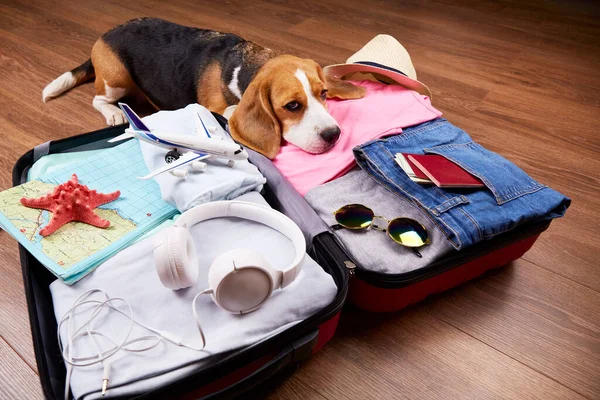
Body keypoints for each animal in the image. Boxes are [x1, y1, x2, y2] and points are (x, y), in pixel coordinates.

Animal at [42, 17, 366, 158]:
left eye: (323, 94)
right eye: (292, 106)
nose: (334, 135)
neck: (245, 64)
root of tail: (107, 33)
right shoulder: (215, 108)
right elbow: (231, 112)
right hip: (116, 79)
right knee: (98, 98)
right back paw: (113, 113)